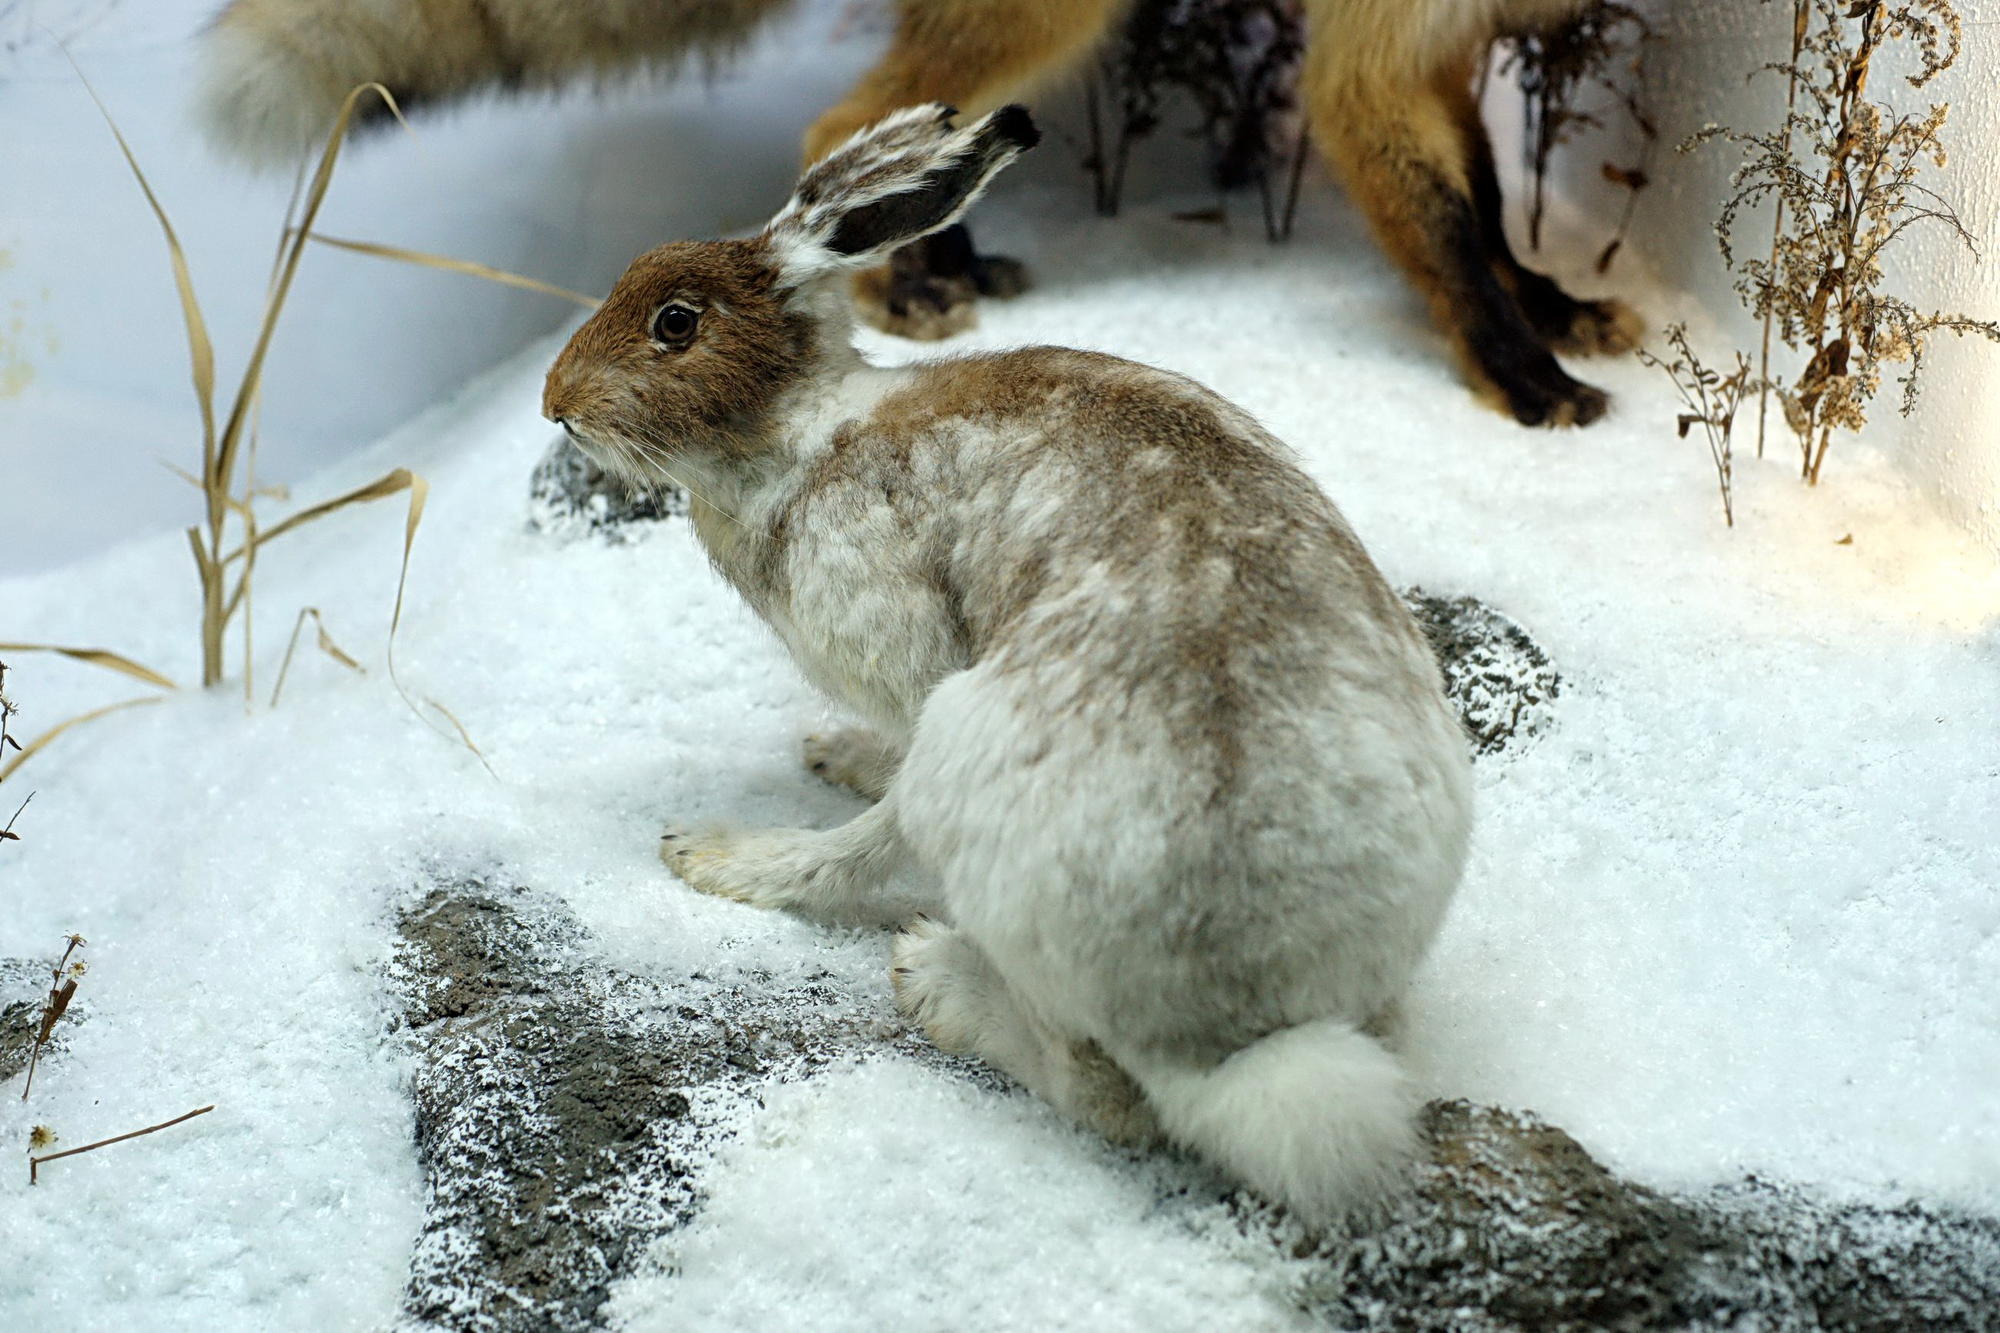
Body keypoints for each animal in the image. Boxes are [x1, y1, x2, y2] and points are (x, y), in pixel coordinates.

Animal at [199, 0, 1640, 426]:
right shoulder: (1366, 63)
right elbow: (1448, 239)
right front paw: (1526, 377)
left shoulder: (1444, 45)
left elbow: (1491, 208)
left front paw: (1555, 304)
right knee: (842, 128)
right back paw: (907, 275)